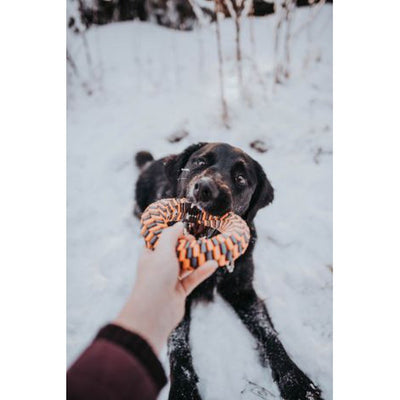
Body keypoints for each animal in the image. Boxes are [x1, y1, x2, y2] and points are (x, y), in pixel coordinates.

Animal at [134, 142, 322, 398]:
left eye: (240, 178)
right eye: (200, 162)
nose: (205, 189)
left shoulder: (242, 291)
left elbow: (269, 334)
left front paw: (297, 382)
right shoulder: (174, 295)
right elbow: (179, 345)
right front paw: (183, 391)